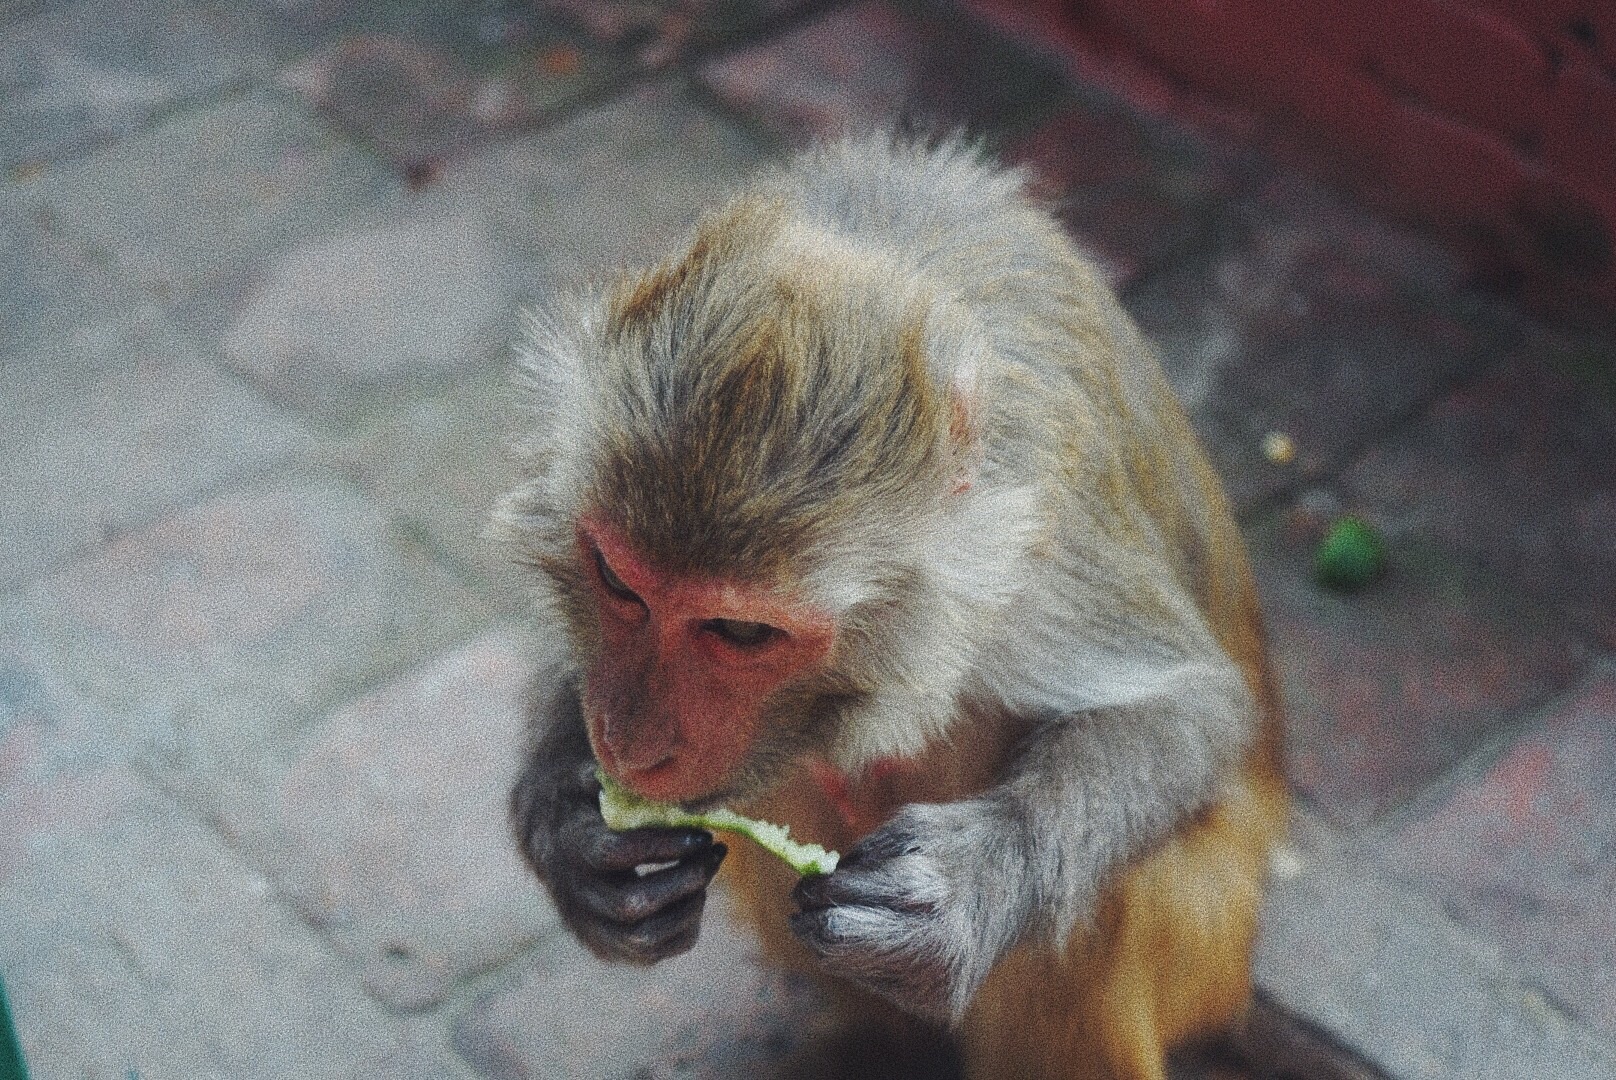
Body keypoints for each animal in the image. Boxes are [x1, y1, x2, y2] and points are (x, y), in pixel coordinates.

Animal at [491, 135, 1286, 1080]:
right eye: (619, 583)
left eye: (741, 631)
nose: (628, 746)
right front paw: (570, 828)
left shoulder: (1042, 554)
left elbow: (1193, 709)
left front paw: (966, 885)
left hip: (1211, 940)